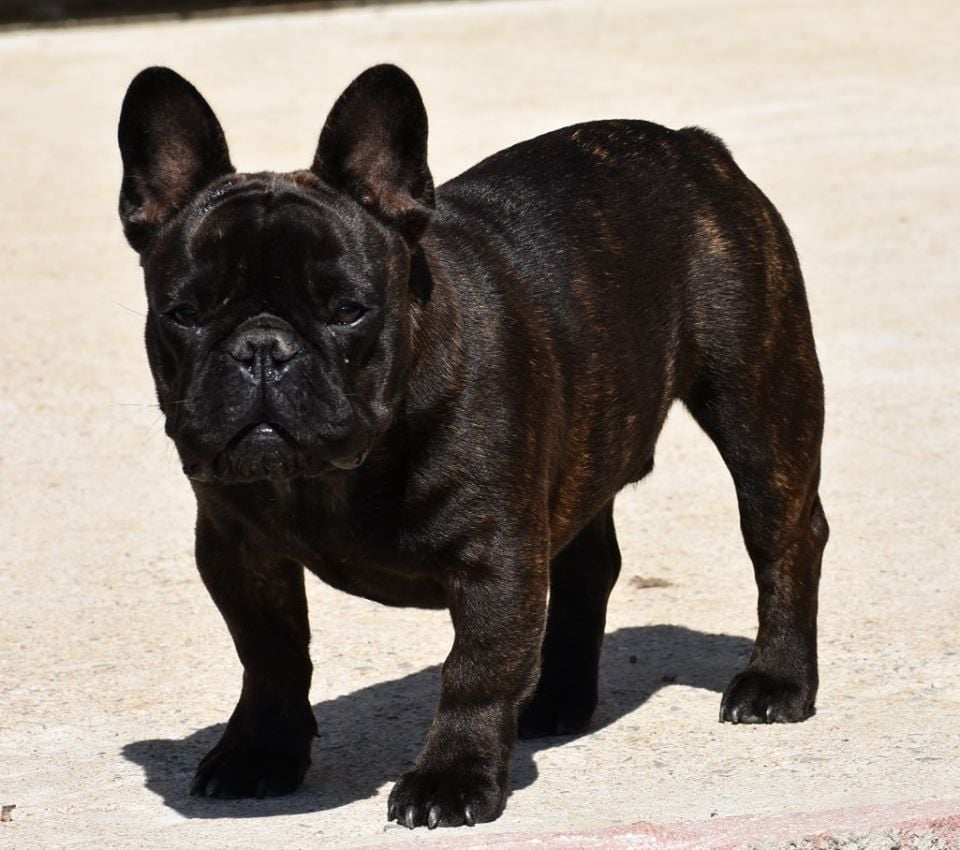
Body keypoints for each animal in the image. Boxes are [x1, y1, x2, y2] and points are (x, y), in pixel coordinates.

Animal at [118, 63, 824, 824]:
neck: (330, 474)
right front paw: (260, 753)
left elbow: (476, 670)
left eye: (349, 311)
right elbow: (269, 655)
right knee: (587, 566)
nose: (262, 349)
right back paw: (556, 699)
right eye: (183, 314)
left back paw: (776, 682)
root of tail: (695, 145)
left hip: (759, 405)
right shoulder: (237, 549)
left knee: (783, 537)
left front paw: (450, 779)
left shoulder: (495, 558)